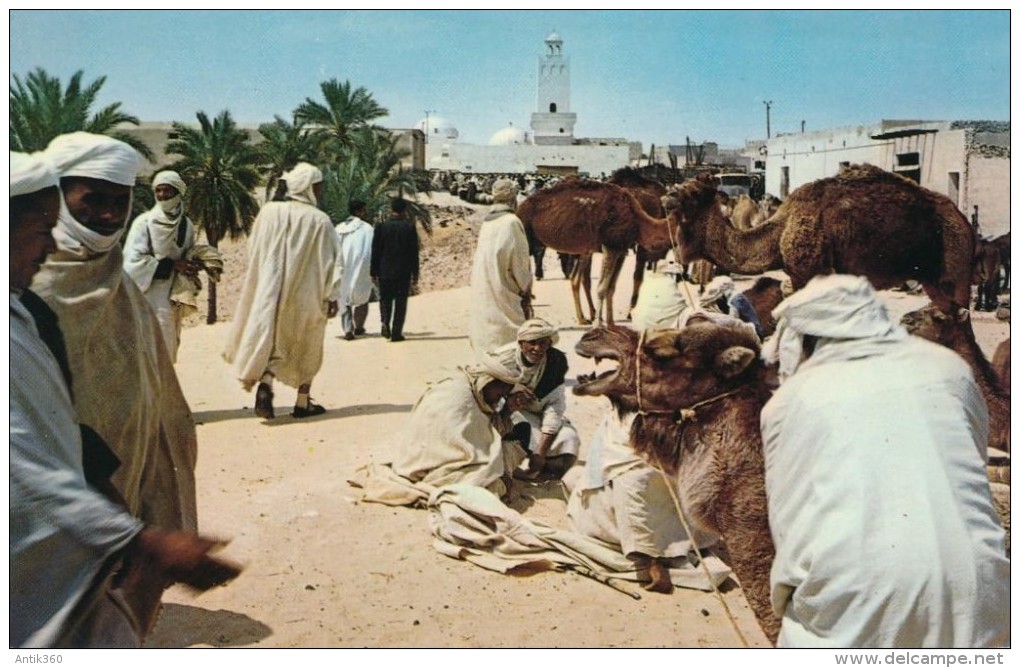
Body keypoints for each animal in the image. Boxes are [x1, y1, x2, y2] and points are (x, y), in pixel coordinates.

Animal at [518, 176, 677, 326]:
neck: (638, 222)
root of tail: (520, 207)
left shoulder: (621, 250)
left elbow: (611, 287)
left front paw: (611, 323)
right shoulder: (610, 247)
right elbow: (601, 287)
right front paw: (600, 324)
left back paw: (579, 318)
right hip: (526, 236)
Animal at [665, 164, 975, 316]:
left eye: (693, 192)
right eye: (680, 186)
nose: (668, 195)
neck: (780, 231)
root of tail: (963, 220)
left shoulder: (811, 272)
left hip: (956, 266)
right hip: (931, 277)